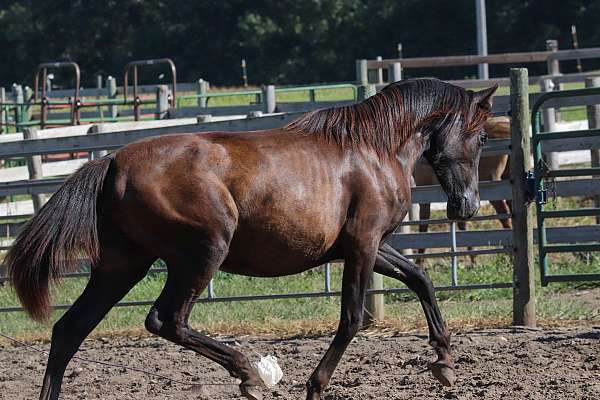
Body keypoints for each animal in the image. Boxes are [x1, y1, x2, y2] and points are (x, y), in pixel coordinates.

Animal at [5, 79, 496, 400]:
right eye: (481, 136)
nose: (467, 206)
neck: (375, 148)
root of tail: (112, 163)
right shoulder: (363, 243)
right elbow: (353, 319)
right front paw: (315, 385)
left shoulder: (370, 246)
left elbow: (420, 280)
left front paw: (444, 363)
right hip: (202, 252)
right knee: (166, 320)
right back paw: (251, 373)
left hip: (122, 265)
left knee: (70, 330)